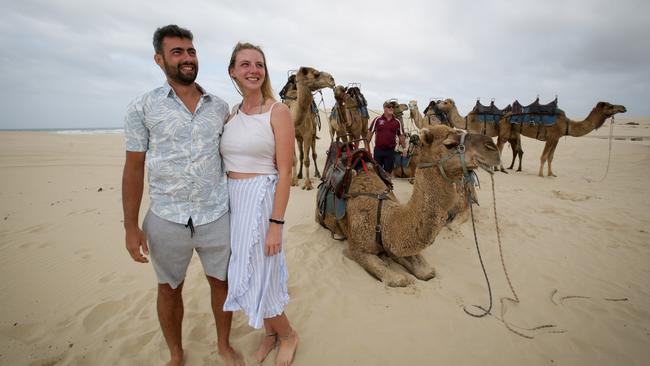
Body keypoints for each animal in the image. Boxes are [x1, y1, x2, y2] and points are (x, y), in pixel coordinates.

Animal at [318, 125, 496, 286]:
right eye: (449, 144)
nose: (491, 147)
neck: (382, 220)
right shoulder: (356, 249)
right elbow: (398, 279)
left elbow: (426, 272)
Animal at [494, 101, 624, 177]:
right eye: (611, 106)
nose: (623, 108)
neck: (566, 124)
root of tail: (503, 116)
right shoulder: (551, 137)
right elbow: (544, 156)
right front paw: (541, 174)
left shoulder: (557, 139)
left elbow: (551, 157)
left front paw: (551, 174)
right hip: (506, 130)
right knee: (500, 146)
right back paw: (500, 169)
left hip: (512, 131)